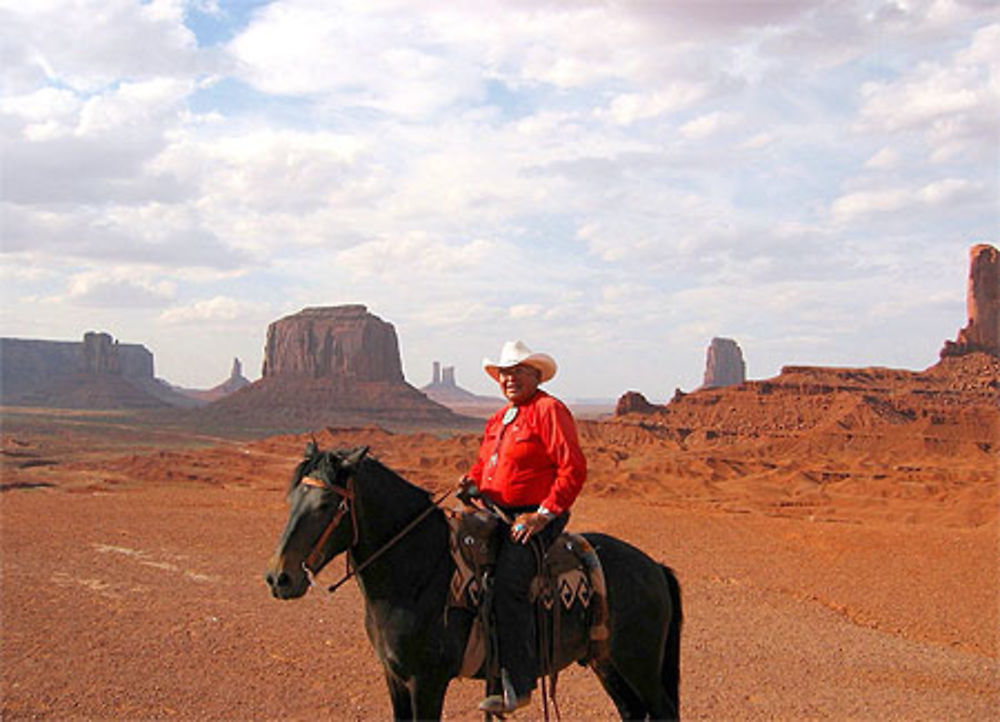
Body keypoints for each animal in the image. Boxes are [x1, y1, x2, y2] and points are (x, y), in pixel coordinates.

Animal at [262, 442, 684, 716]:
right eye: (290, 500)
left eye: (326, 505)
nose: (279, 577)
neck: (417, 574)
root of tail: (654, 567)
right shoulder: (394, 677)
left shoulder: (427, 681)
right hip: (605, 661)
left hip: (639, 662)